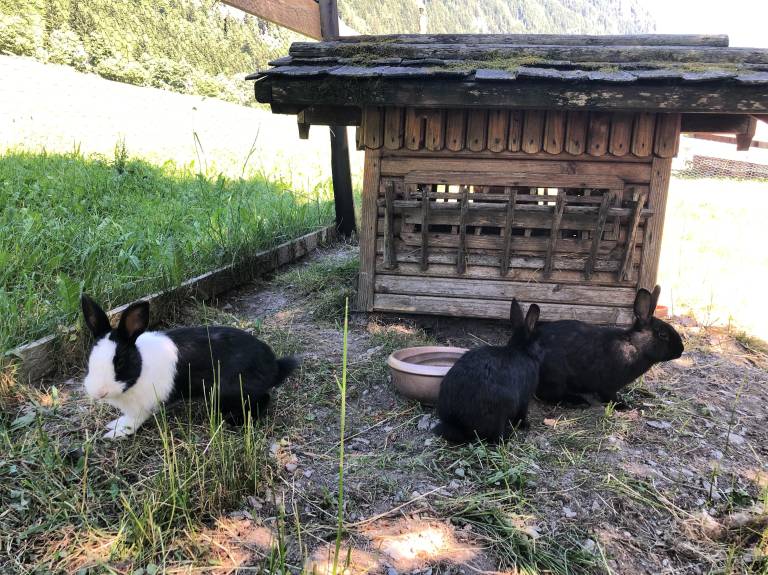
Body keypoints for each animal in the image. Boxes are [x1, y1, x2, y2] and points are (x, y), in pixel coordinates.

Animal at [80, 294, 299, 439]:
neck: (140, 366)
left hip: (232, 390)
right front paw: (114, 425)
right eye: (90, 358)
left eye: (120, 362)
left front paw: (116, 433)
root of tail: (273, 365)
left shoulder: (143, 405)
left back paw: (233, 421)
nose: (98, 392)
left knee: (262, 399)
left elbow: (134, 421)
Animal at [434, 299, 541, 444]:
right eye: (538, 342)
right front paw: (525, 425)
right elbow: (522, 413)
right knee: (496, 437)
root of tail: (459, 425)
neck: (521, 349)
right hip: (502, 410)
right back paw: (508, 436)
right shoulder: (525, 397)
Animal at [533, 285, 684, 406]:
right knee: (548, 395)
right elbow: (609, 396)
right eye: (663, 334)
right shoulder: (609, 385)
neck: (634, 345)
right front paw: (622, 405)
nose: (681, 350)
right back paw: (577, 401)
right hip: (556, 379)